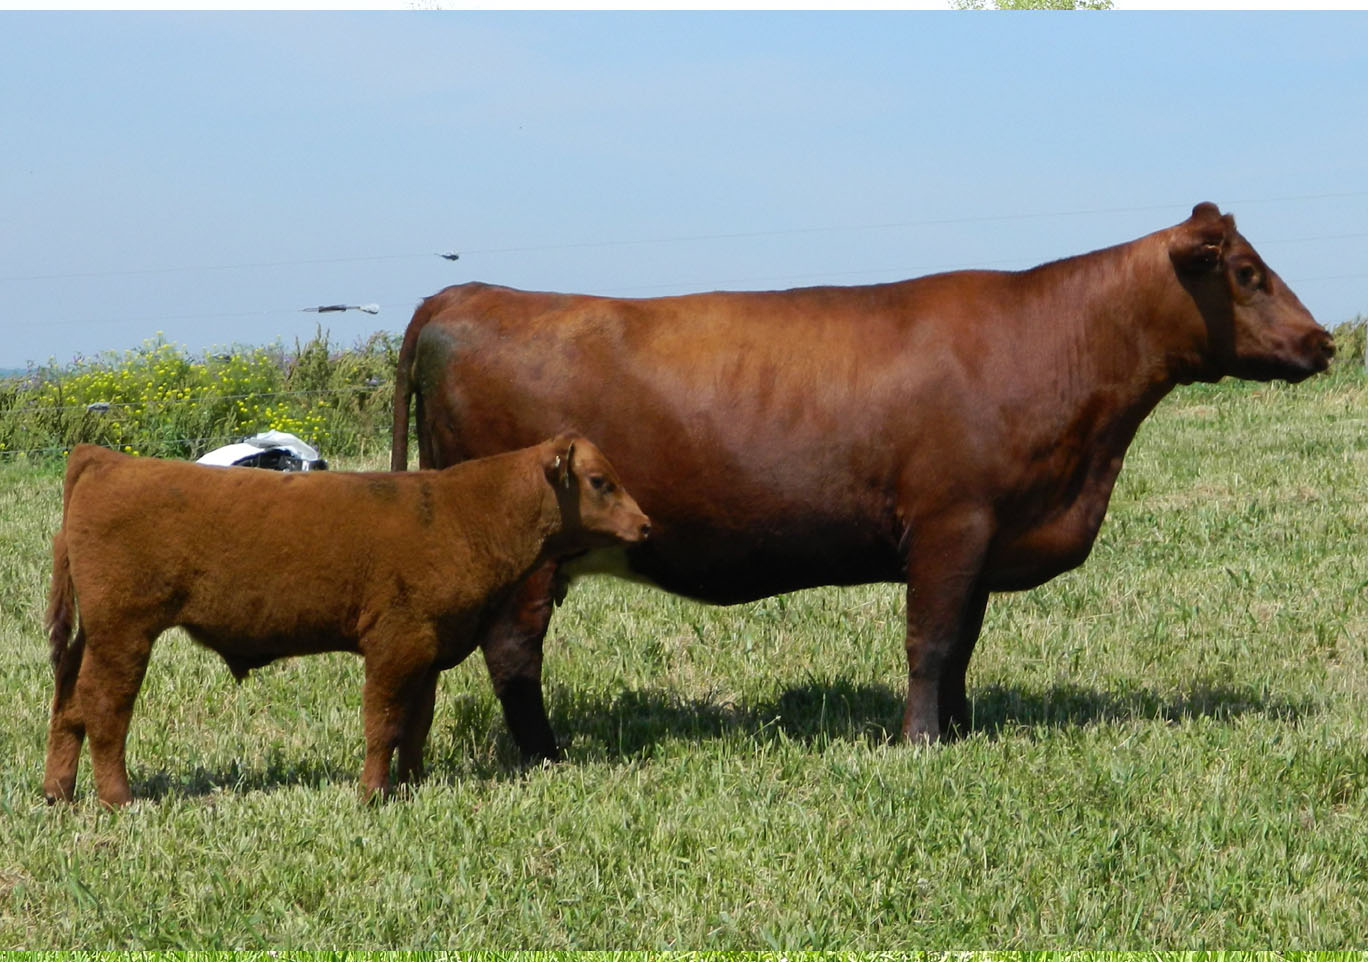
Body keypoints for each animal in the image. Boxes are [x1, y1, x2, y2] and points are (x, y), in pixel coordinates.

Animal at [45, 437, 653, 804]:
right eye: (600, 481)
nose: (647, 525)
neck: (463, 515)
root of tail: (104, 458)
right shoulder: (395, 644)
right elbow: (382, 722)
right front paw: (371, 794)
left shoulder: (428, 652)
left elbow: (416, 723)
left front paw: (411, 785)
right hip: (123, 632)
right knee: (104, 706)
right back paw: (118, 798)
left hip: (92, 637)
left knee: (67, 704)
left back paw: (58, 793)